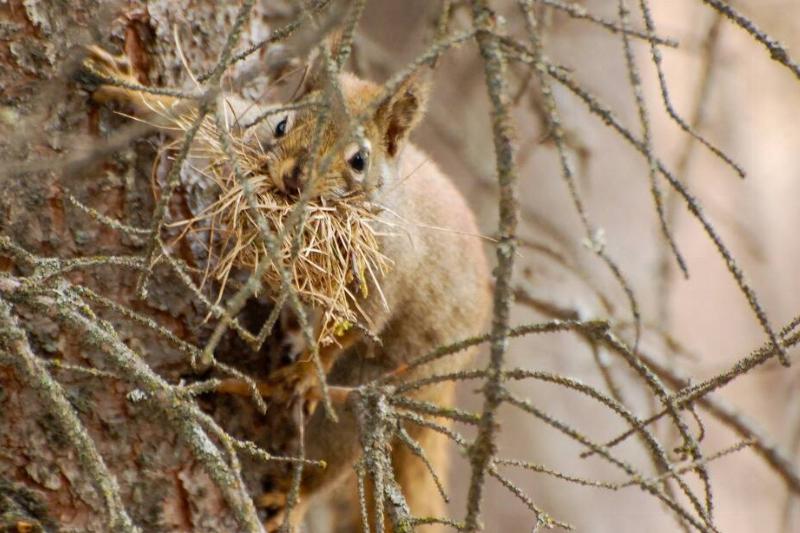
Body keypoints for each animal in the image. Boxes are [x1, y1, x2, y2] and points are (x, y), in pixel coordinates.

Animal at [82, 42, 491, 532]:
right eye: (281, 124)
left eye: (359, 160)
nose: (296, 177)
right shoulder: (241, 133)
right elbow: (198, 119)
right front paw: (129, 87)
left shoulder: (385, 272)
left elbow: (356, 324)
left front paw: (309, 371)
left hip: (390, 372)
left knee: (336, 444)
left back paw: (290, 488)